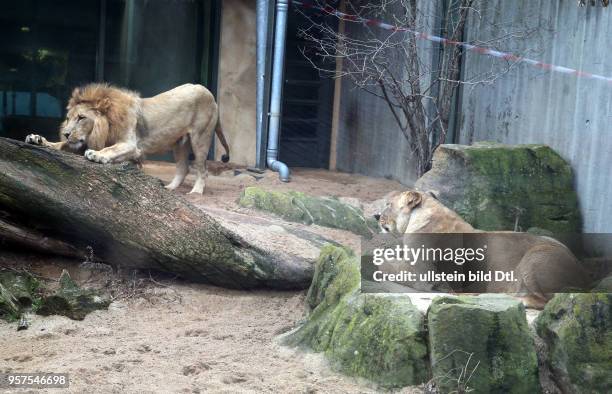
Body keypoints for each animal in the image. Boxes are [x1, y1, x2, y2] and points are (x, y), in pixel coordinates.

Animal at [24, 83, 232, 194]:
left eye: (81, 118)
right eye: (68, 118)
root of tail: (209, 93)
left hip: (200, 138)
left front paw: (97, 155)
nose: (67, 133)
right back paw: (169, 188)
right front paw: (37, 138)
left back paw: (196, 191)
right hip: (179, 143)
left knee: (202, 169)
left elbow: (110, 149)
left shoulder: (132, 145)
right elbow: (58, 145)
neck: (106, 125)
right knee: (183, 168)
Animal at [376, 191, 592, 308]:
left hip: (537, 256)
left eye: (388, 204)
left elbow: (386, 267)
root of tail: (584, 275)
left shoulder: (424, 274)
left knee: (545, 300)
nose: (376, 216)